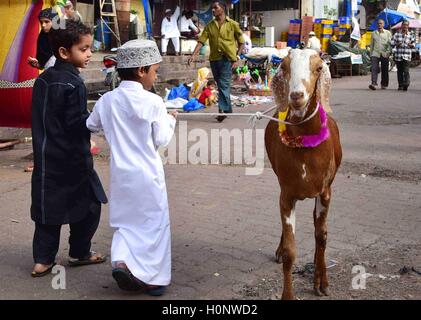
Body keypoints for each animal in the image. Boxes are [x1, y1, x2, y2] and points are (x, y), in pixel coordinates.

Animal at [266, 48, 342, 298]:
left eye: (319, 67)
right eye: (284, 67)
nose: (297, 96)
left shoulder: (326, 192)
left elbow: (321, 236)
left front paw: (322, 281)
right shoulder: (287, 195)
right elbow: (291, 250)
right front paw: (287, 295)